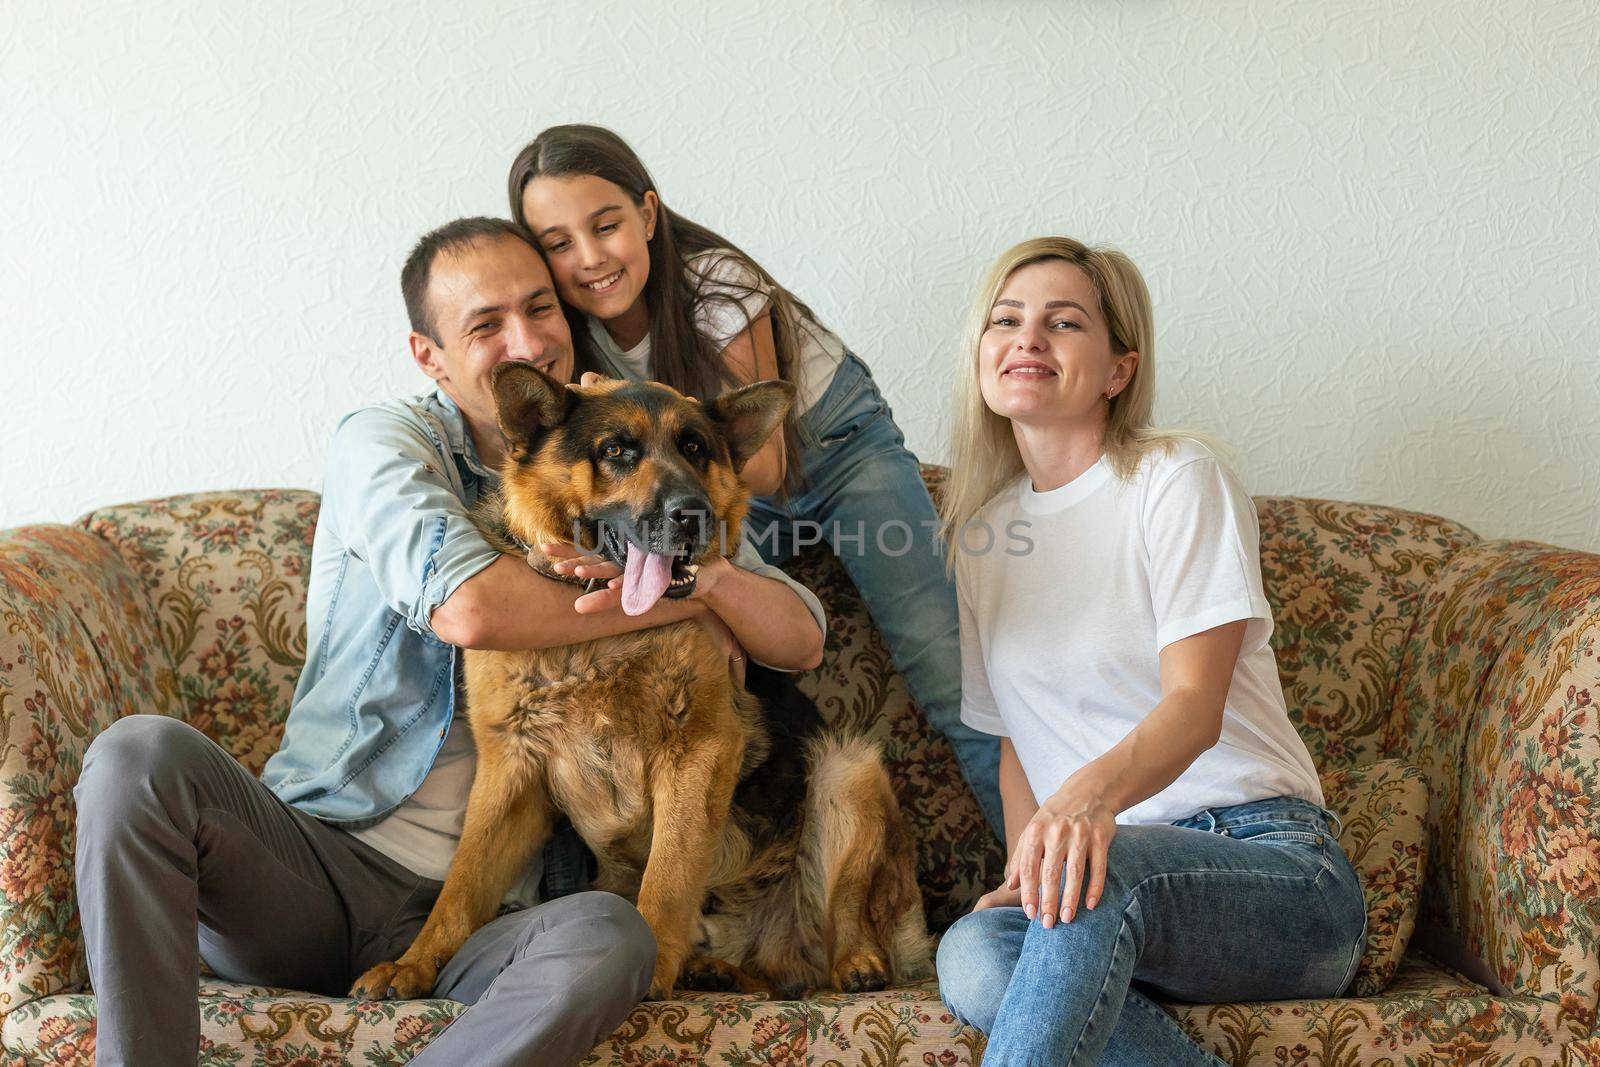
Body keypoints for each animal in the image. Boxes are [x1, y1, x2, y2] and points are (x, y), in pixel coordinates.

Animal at [350, 364, 928, 1004]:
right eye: (616, 451)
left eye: (695, 449)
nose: (693, 514)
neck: (595, 637)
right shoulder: (510, 771)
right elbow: (462, 883)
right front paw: (414, 963)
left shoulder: (698, 751)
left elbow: (669, 876)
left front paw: (648, 966)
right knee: (776, 976)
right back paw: (719, 971)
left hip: (846, 769)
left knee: (844, 920)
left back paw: (858, 962)